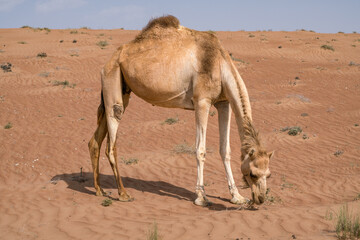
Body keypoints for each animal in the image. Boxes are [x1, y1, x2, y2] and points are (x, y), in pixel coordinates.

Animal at [88, 15, 272, 206]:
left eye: (268, 174)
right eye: (252, 173)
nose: (260, 198)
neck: (220, 64)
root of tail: (110, 60)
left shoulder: (224, 102)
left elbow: (225, 150)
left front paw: (237, 197)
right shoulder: (202, 101)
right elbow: (200, 150)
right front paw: (201, 197)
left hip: (121, 89)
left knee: (95, 141)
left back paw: (99, 190)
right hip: (113, 79)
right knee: (112, 140)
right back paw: (123, 194)